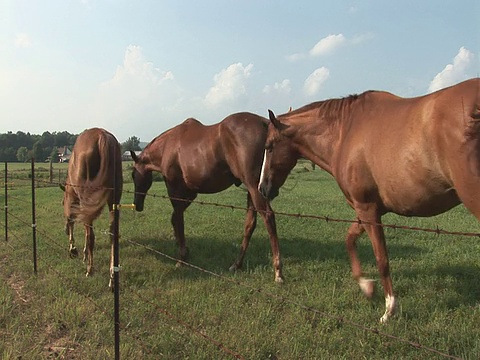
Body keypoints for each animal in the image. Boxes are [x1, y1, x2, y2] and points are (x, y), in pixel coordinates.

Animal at [60, 128, 123, 288]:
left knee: (91, 236)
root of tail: (102, 136)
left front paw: (74, 250)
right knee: (113, 233)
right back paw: (112, 277)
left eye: (63, 204)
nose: (64, 230)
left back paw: (90, 269)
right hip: (114, 200)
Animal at [131, 111, 286, 282]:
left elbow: (178, 220)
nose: (137, 204)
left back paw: (278, 271)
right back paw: (236, 264)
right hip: (252, 190)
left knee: (268, 217)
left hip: (254, 187)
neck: (167, 145)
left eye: (133, 175)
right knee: (250, 224)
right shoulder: (190, 193)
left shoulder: (175, 190)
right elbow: (175, 218)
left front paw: (182, 257)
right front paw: (183, 248)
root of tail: (264, 123)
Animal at [258, 77, 480, 322]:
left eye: (268, 147)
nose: (262, 188)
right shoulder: (367, 210)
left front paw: (389, 310)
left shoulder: (367, 210)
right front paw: (367, 286)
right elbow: (349, 240)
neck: (345, 131)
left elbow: (381, 259)